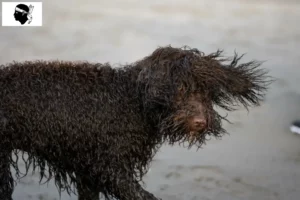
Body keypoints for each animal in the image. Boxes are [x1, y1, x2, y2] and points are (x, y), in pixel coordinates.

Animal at [0, 46, 272, 199]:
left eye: (206, 92)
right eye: (181, 89)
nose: (200, 122)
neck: (132, 101)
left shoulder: (88, 173)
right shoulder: (111, 169)